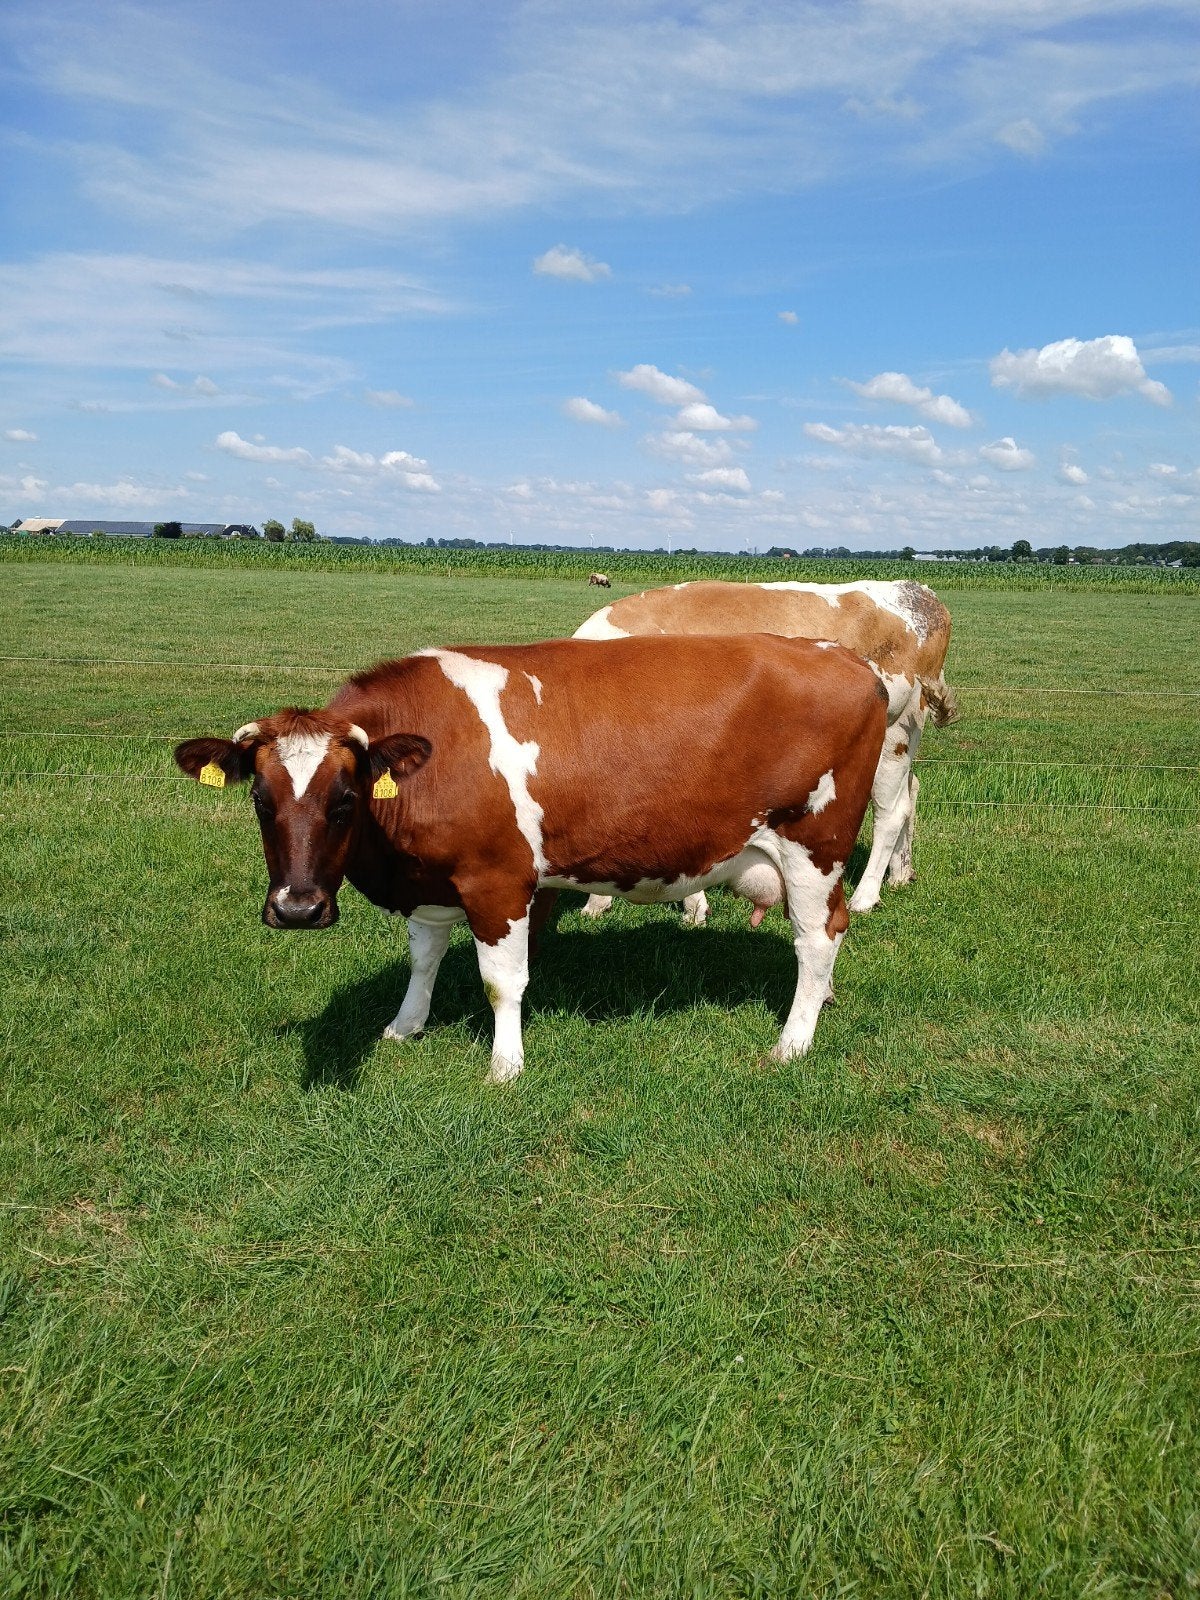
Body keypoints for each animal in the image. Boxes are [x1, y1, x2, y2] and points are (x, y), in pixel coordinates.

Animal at [174, 636, 887, 1083]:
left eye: (345, 800)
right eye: (261, 800)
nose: (297, 907)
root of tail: (846, 657)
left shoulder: (500, 882)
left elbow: (502, 981)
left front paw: (505, 1065)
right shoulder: (431, 884)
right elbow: (424, 959)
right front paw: (404, 1026)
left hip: (813, 848)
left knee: (819, 936)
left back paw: (792, 1042)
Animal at [574, 578, 956, 920]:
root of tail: (916, 591)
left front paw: (692, 907)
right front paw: (599, 900)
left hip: (895, 731)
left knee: (890, 813)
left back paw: (865, 896)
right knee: (911, 792)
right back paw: (900, 875)